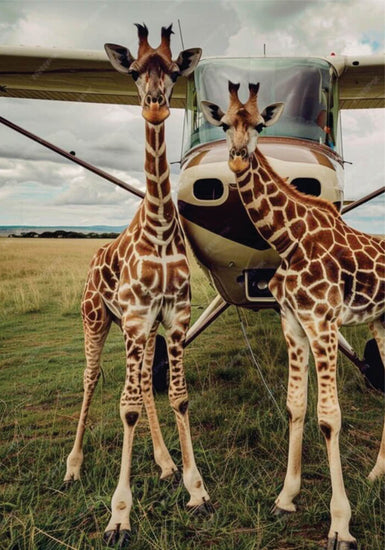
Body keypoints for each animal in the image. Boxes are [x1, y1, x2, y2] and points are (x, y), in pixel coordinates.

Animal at [64, 24, 212, 548]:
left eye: (173, 72)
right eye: (132, 70)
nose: (154, 105)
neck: (161, 227)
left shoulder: (172, 317)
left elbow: (178, 396)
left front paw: (195, 488)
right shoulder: (131, 318)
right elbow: (125, 407)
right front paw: (119, 515)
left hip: (143, 333)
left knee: (146, 385)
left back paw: (165, 464)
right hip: (96, 319)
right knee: (90, 379)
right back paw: (72, 467)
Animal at [201, 82, 384, 550]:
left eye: (261, 124)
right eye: (223, 124)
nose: (237, 158)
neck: (289, 238)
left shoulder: (323, 322)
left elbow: (330, 418)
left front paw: (340, 524)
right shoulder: (294, 324)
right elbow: (296, 406)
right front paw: (286, 498)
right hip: (381, 320)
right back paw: (377, 473)